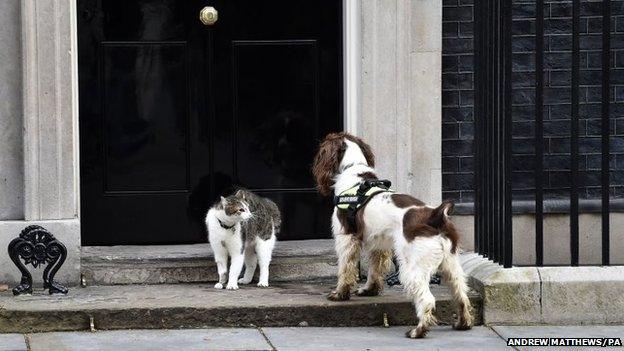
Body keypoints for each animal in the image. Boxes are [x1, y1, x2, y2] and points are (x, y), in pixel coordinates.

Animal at [312, 132, 472, 338]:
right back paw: (463, 323)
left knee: (427, 299)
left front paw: (339, 294)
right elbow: (374, 270)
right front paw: (369, 290)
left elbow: (346, 269)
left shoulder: (346, 238)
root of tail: (435, 216)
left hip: (412, 267)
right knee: (461, 294)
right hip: (451, 264)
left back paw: (418, 330)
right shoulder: (378, 244)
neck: (354, 171)